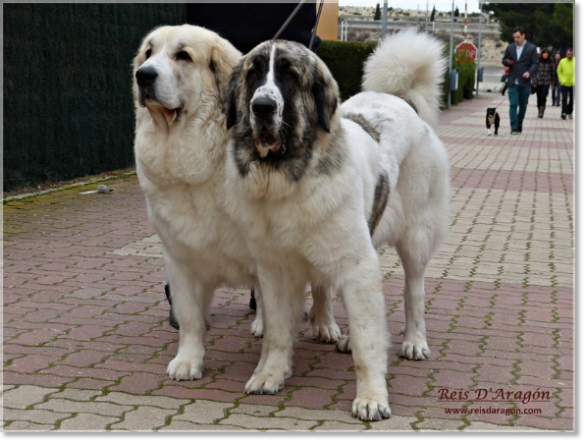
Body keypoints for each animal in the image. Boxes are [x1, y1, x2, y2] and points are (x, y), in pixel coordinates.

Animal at [221, 29, 450, 422]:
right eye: (253, 74)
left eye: (290, 76)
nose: (262, 107)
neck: (289, 177)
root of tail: (398, 98)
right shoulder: (274, 269)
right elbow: (277, 330)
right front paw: (270, 374)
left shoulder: (358, 265)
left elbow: (368, 340)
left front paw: (372, 397)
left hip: (415, 237)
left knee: (414, 290)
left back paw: (414, 341)